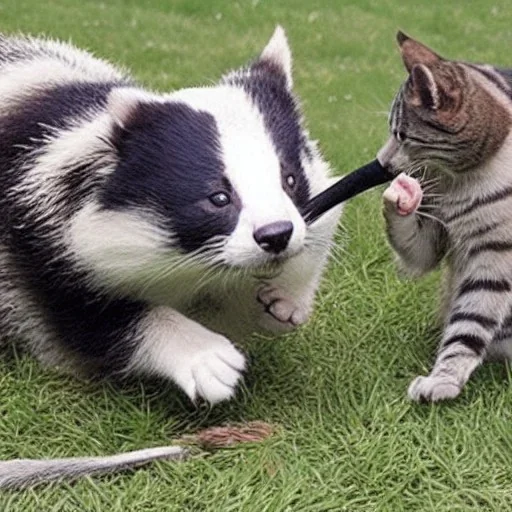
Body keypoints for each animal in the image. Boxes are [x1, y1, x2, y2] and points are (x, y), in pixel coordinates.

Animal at [378, 32, 512, 402]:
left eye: (402, 135)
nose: (380, 164)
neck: (463, 178)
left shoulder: (495, 257)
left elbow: (471, 321)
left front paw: (444, 380)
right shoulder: (436, 237)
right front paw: (401, 195)